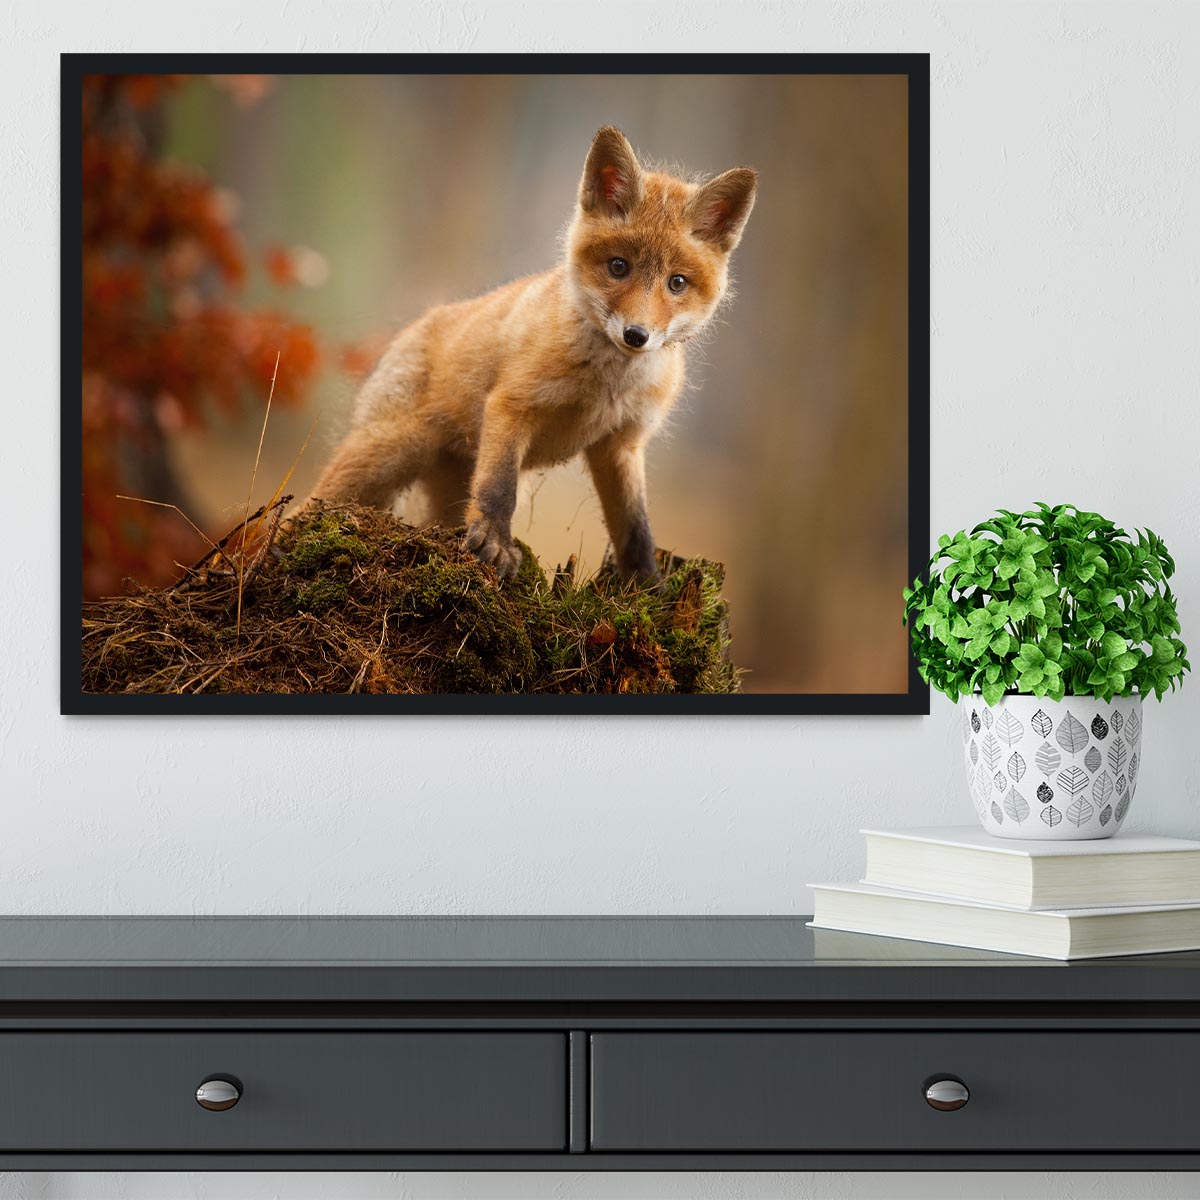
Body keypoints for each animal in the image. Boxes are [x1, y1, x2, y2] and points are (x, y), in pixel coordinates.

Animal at [311, 125, 757, 584]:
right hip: (386, 455)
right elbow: (498, 489)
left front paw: (648, 585)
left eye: (677, 283)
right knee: (312, 504)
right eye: (618, 267)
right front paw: (494, 544)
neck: (606, 387)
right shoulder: (512, 406)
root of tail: (417, 325)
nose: (636, 335)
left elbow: (635, 527)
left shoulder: (621, 444)